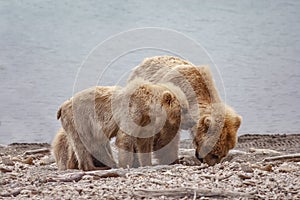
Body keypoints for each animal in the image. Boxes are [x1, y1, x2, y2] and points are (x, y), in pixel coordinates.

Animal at [54, 78, 190, 170]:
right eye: (184, 109)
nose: (192, 122)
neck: (147, 107)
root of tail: (62, 106)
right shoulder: (132, 112)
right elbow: (125, 139)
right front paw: (125, 164)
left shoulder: (145, 122)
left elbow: (144, 142)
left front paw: (147, 163)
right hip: (81, 120)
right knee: (86, 144)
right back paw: (97, 166)